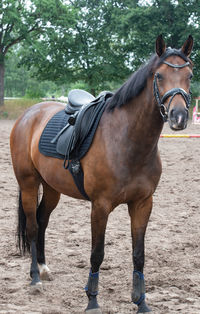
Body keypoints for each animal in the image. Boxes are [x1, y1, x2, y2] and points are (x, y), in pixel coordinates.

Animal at [10, 35, 193, 312]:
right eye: (159, 76)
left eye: (190, 75)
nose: (179, 116)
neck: (127, 140)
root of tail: (29, 114)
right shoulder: (100, 206)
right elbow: (97, 254)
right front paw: (93, 301)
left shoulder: (143, 203)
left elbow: (138, 255)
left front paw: (141, 302)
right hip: (28, 183)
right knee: (32, 226)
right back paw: (34, 278)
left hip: (52, 188)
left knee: (42, 220)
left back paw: (43, 268)